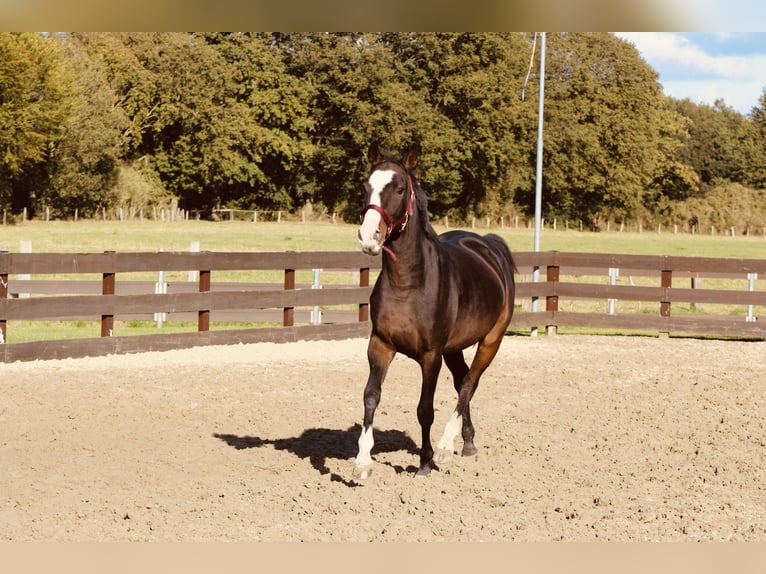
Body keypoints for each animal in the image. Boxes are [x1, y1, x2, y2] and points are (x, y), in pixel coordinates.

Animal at [354, 144, 516, 482]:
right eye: (365, 186)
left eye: (400, 188)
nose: (369, 237)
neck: (409, 284)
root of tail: (489, 245)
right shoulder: (380, 345)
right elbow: (371, 396)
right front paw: (362, 462)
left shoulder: (430, 355)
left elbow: (424, 409)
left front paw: (425, 462)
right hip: (453, 348)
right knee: (463, 382)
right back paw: (467, 442)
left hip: (491, 341)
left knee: (469, 384)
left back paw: (445, 445)